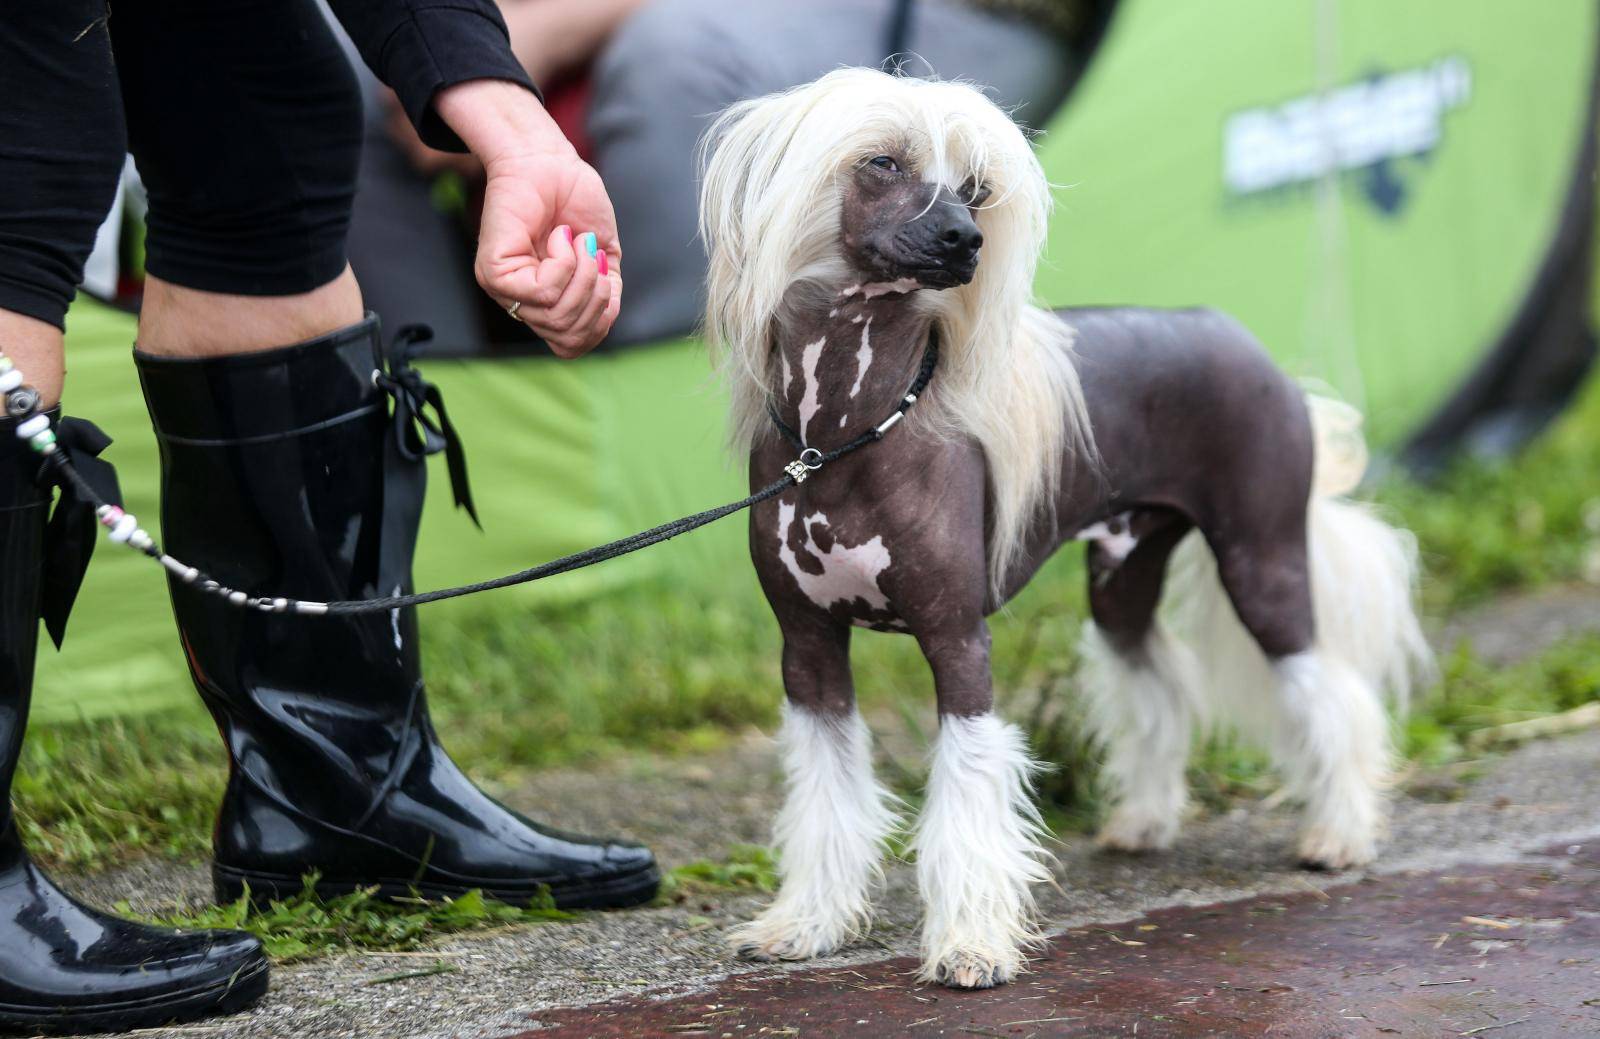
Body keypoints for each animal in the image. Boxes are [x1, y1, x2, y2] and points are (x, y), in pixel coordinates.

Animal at [700, 68, 1427, 992]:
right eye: (882, 163)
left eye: (975, 186)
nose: (965, 238)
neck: (847, 429)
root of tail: (1246, 342)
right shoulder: (809, 646)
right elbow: (826, 790)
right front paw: (806, 923)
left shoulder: (957, 639)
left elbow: (969, 782)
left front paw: (970, 945)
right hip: (1124, 571)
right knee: (1156, 683)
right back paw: (1146, 819)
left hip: (1262, 560)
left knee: (1330, 690)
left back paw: (1340, 832)